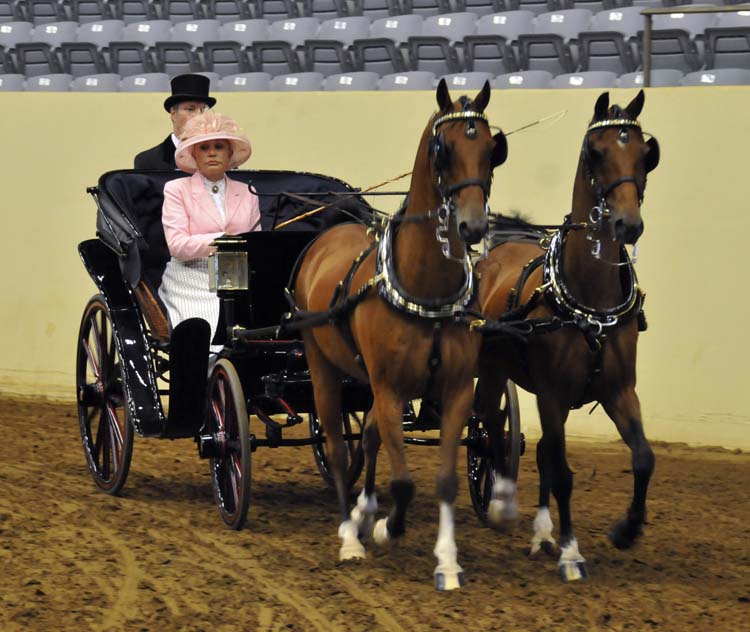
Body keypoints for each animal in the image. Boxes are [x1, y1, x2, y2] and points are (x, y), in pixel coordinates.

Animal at [291, 79, 507, 590]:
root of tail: (329, 233)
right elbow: (404, 481)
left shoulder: (455, 390)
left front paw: (447, 561)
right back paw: (350, 535)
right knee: (336, 444)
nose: (472, 225)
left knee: (367, 437)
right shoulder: (389, 388)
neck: (425, 287)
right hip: (322, 366)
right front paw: (387, 529)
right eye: (443, 149)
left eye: (491, 148)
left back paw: (364, 511)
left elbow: (445, 479)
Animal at [474, 90, 660, 581]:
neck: (588, 302)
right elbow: (563, 473)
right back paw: (500, 502)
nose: (628, 225)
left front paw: (627, 530)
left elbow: (643, 458)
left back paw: (540, 533)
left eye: (645, 153)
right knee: (488, 429)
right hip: (494, 372)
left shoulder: (619, 390)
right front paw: (572, 553)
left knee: (533, 448)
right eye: (595, 151)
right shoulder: (553, 393)